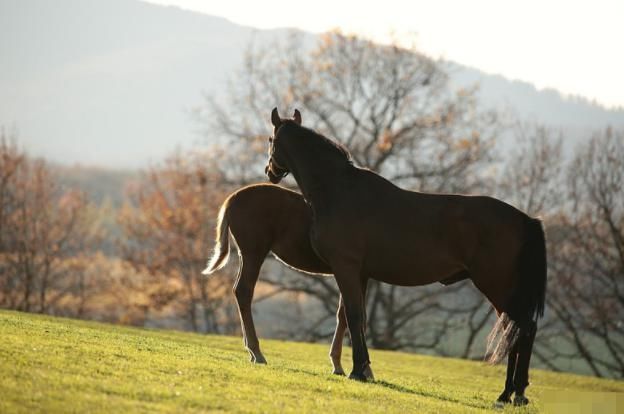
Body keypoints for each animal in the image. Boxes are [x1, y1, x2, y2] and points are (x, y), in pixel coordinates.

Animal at [200, 183, 356, 376]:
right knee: (244, 291)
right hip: (254, 252)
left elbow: (343, 312)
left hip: (246, 254)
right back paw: (257, 352)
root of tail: (231, 200)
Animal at [266, 108, 544, 406]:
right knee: (518, 331)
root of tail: (525, 219)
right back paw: (513, 393)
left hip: (497, 287)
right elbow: (358, 317)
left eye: (271, 139)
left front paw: (357, 371)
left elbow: (352, 315)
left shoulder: (345, 267)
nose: (269, 172)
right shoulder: (360, 273)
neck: (338, 189)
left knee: (521, 330)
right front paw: (363, 368)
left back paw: (511, 393)